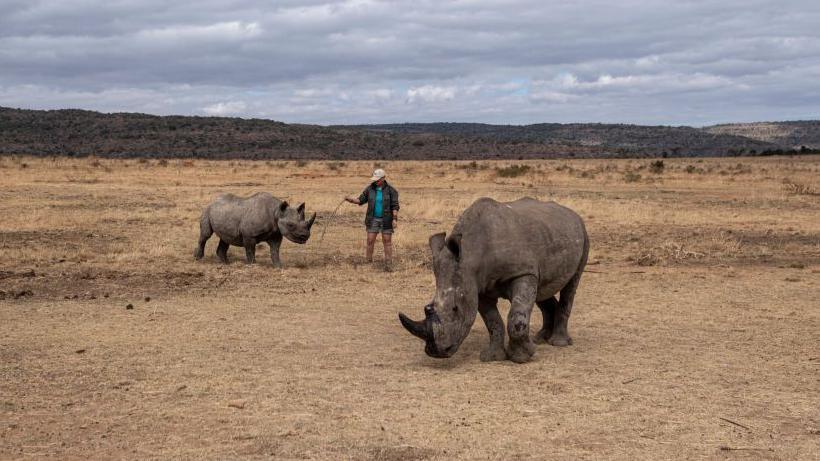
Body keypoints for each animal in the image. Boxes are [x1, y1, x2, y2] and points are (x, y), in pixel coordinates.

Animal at [398, 198, 588, 362]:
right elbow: (493, 321)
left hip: (584, 236)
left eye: (455, 308)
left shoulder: (522, 272)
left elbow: (516, 316)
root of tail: (573, 214)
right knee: (542, 289)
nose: (436, 352)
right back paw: (540, 339)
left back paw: (558, 343)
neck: (471, 255)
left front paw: (522, 356)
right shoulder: (477, 287)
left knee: (571, 286)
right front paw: (493, 357)